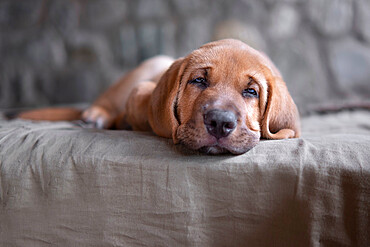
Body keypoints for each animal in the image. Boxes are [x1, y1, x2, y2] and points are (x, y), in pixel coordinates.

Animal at [18, 38, 300, 154]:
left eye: (251, 91)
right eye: (199, 81)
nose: (220, 123)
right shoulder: (139, 90)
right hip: (149, 65)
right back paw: (95, 116)